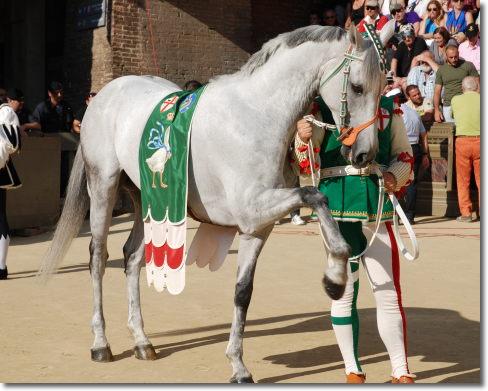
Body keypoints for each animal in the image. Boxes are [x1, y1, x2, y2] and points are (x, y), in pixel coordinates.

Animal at [38, 23, 396, 382]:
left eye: (383, 86)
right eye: (357, 86)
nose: (365, 154)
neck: (258, 115)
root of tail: (104, 94)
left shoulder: (257, 226)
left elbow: (243, 292)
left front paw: (238, 365)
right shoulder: (252, 207)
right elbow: (316, 196)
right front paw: (335, 277)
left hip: (148, 198)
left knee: (133, 257)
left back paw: (141, 340)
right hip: (103, 184)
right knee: (98, 259)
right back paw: (101, 343)